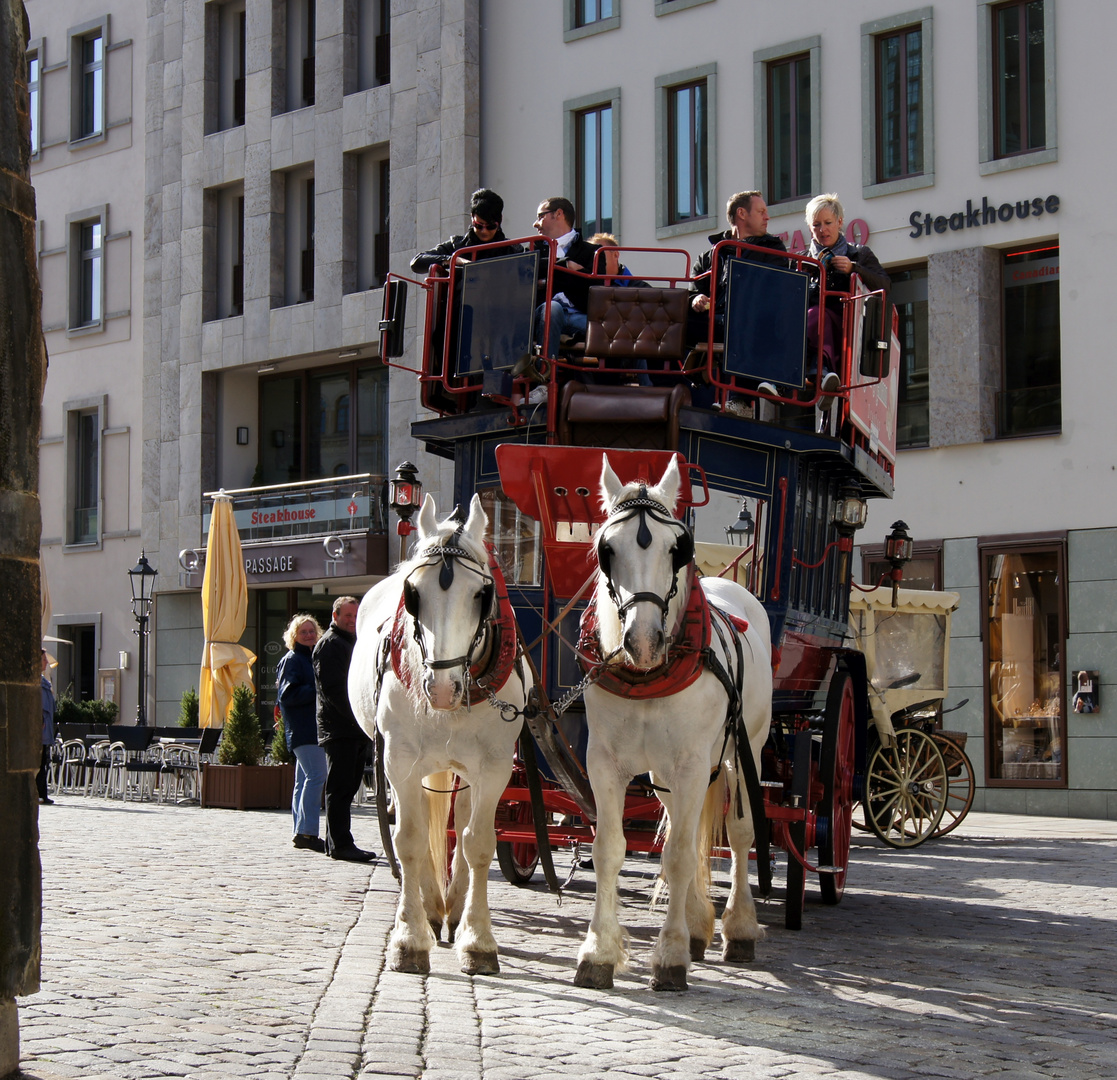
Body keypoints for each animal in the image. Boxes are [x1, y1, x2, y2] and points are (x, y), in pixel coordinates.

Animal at [348, 495, 527, 978]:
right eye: (413, 594)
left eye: (482, 594)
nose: (443, 689)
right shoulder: (399, 761)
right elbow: (409, 841)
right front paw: (410, 938)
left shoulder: (495, 768)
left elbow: (478, 844)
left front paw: (478, 940)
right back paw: (432, 907)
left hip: (465, 769)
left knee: (461, 827)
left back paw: (454, 906)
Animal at [571, 451, 772, 991]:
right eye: (607, 549)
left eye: (676, 550)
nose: (643, 642)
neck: (647, 679)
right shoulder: (605, 764)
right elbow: (609, 850)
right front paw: (598, 953)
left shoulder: (692, 764)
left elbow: (680, 853)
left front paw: (671, 955)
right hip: (665, 773)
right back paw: (700, 923)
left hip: (742, 751)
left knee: (739, 833)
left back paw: (737, 928)